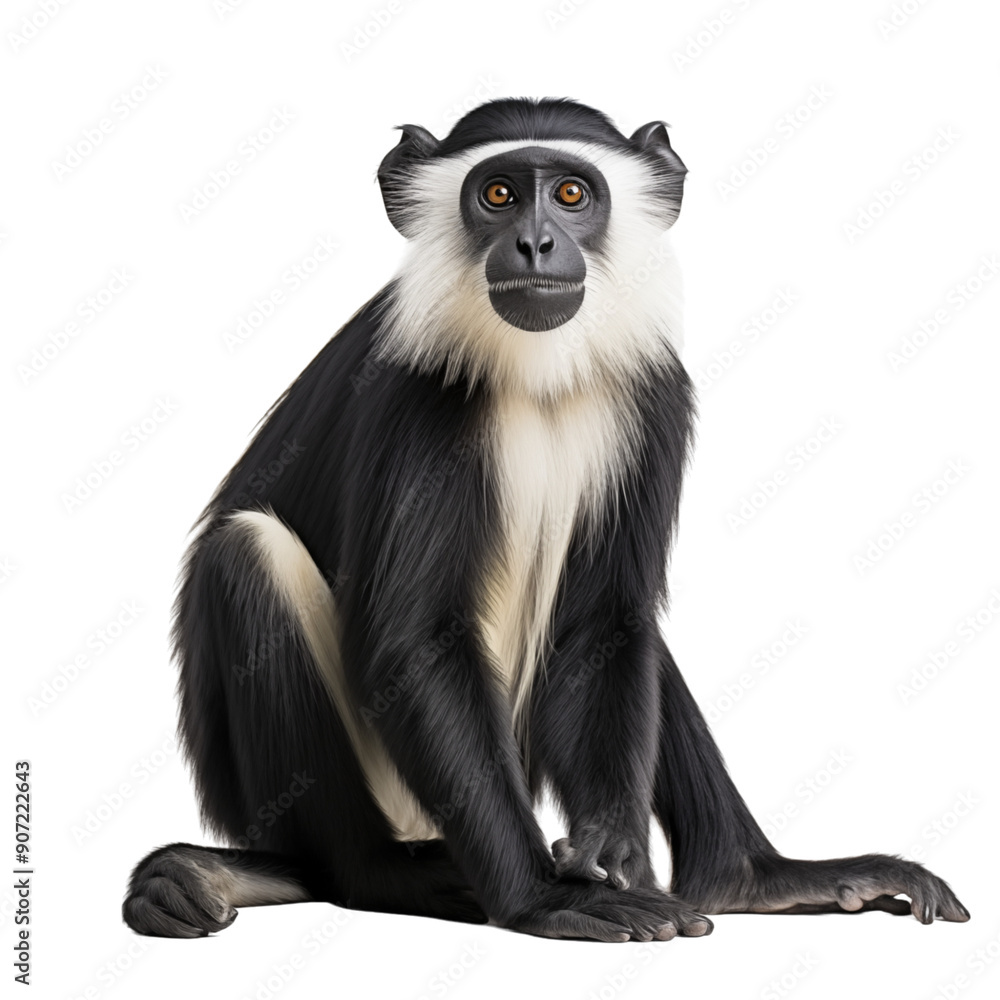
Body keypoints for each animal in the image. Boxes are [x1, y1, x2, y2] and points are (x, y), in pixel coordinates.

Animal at [122, 98, 968, 942]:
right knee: (248, 553)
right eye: (498, 195)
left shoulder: (653, 393)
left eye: (570, 195)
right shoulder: (419, 390)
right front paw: (545, 896)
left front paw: (615, 847)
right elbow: (417, 638)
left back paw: (753, 880)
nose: (535, 242)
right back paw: (394, 874)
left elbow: (607, 620)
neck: (540, 374)